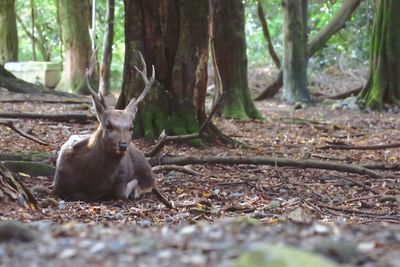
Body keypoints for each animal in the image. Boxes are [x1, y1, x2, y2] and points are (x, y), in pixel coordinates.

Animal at [52, 52, 173, 209]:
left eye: (131, 127)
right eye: (108, 125)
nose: (123, 145)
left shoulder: (122, 177)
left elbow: (122, 192)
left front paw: (133, 187)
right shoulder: (57, 184)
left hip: (146, 168)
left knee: (152, 182)